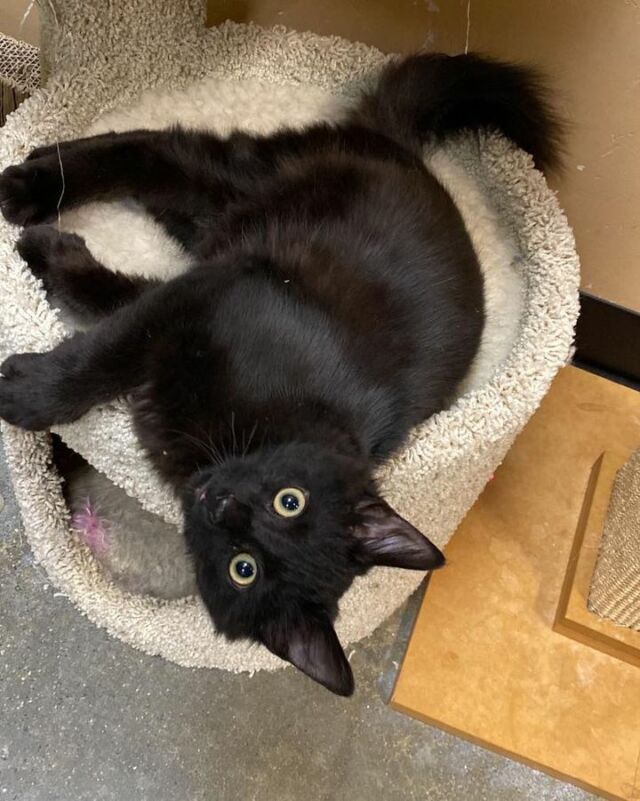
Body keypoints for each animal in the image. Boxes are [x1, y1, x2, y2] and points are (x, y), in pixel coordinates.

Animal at [0, 54, 560, 692]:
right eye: (290, 501)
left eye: (243, 568)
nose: (224, 505)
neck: (256, 432)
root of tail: (404, 149)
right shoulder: (221, 292)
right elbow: (104, 351)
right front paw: (25, 391)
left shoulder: (202, 288)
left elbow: (115, 305)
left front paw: (51, 261)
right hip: (248, 182)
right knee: (157, 147)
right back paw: (27, 182)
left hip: (225, 221)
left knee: (170, 184)